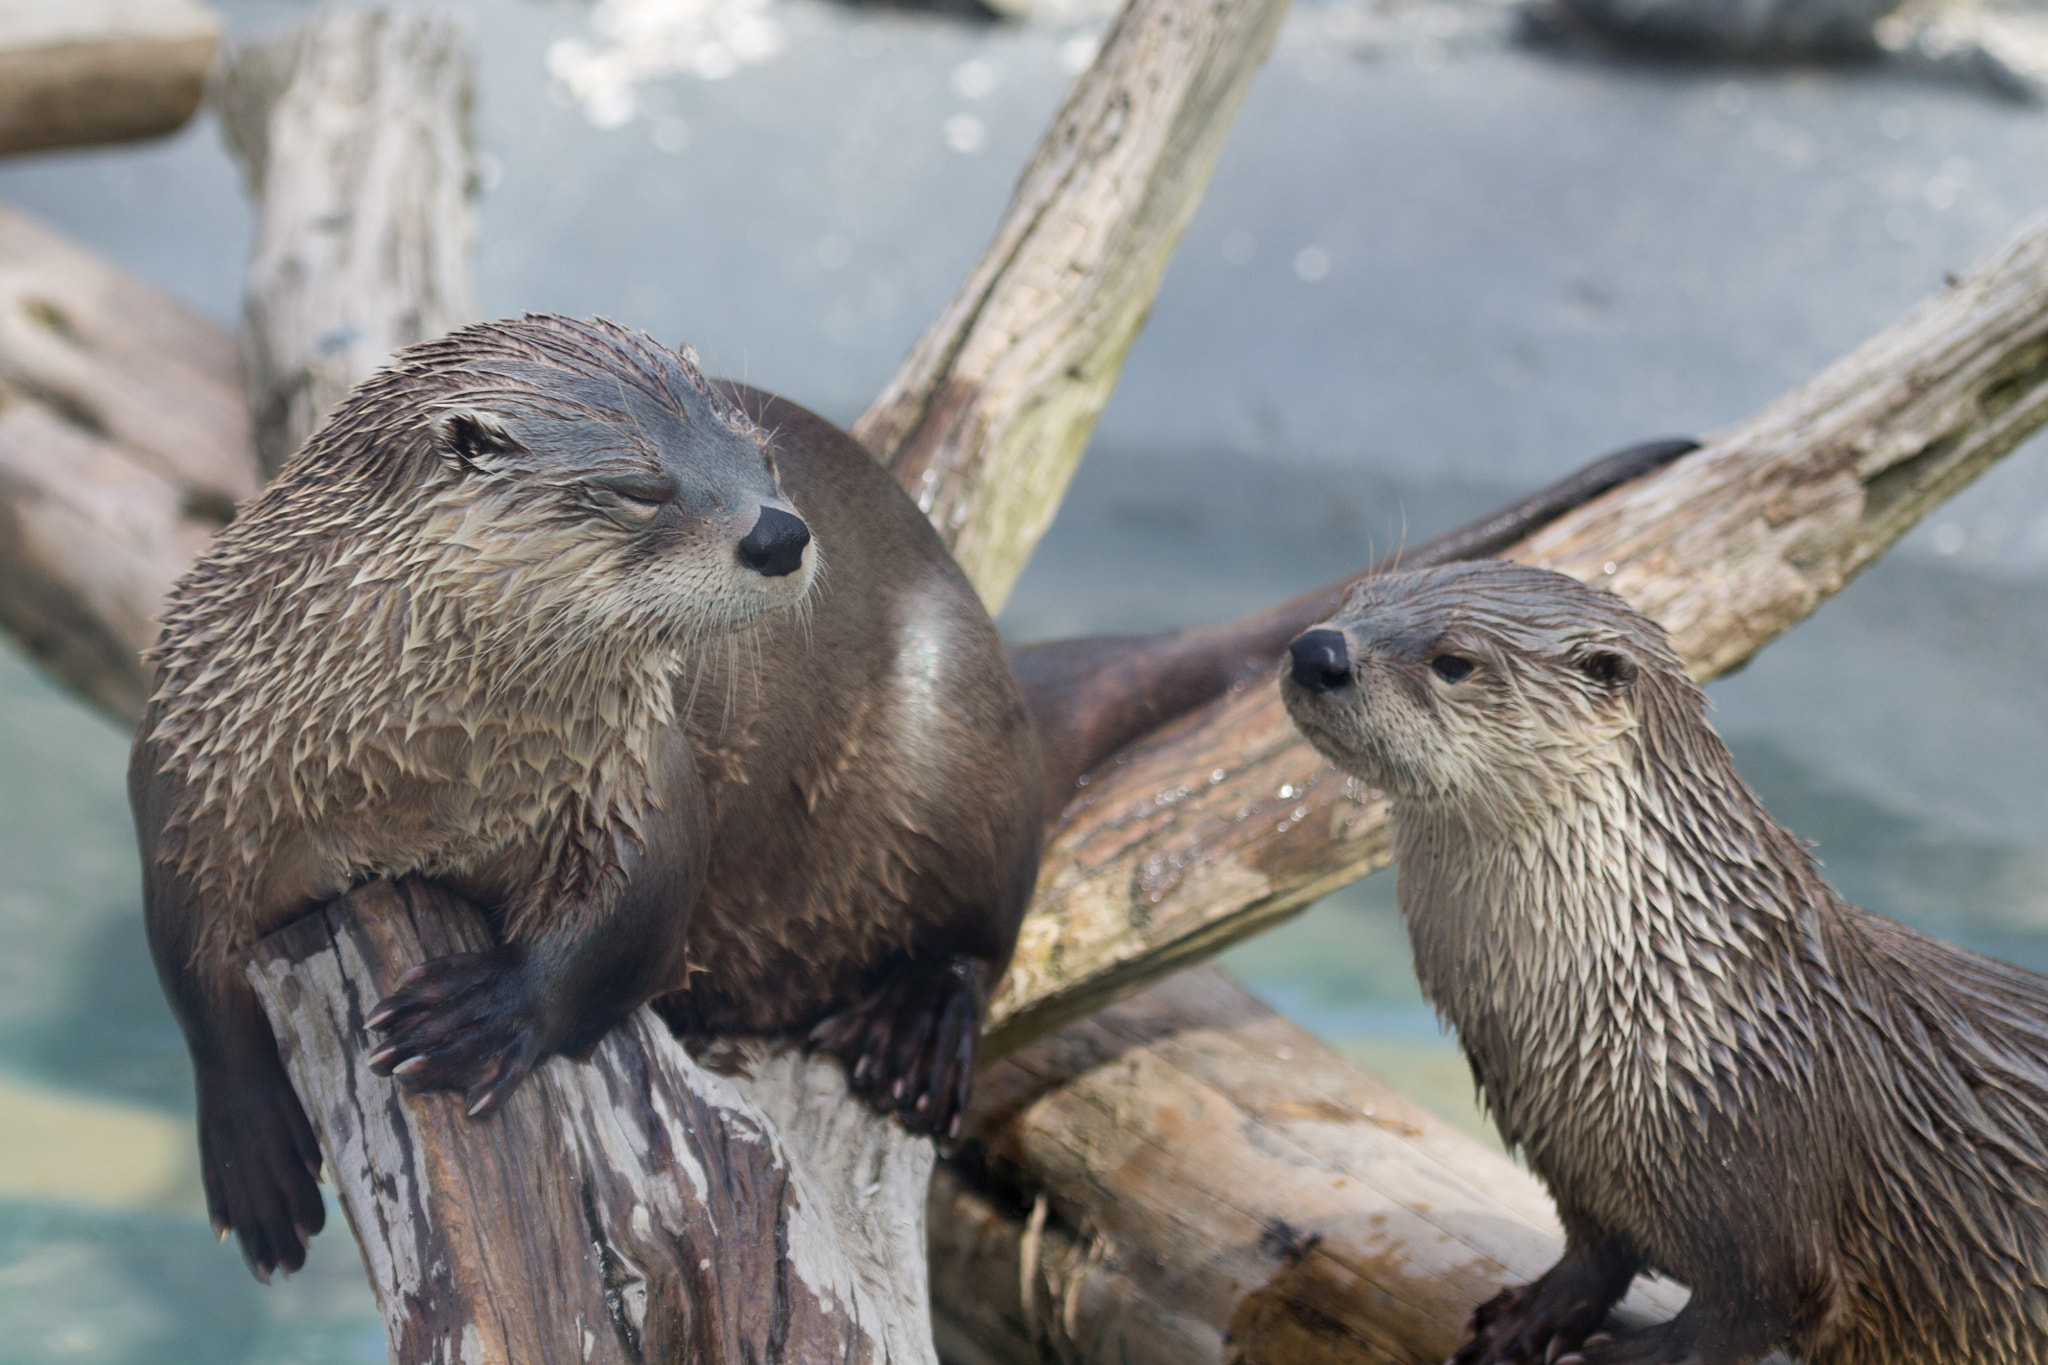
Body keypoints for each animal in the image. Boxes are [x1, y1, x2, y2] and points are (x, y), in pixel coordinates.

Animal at [133, 311, 1694, 1282]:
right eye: (639, 486)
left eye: (754, 458)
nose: (778, 533)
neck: (417, 766)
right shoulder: (196, 749)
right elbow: (193, 974)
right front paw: (256, 1157)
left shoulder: (636, 772)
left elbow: (626, 919)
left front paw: (488, 1014)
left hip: (956, 736)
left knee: (982, 925)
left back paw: (908, 1026)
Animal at [1280, 559, 2048, 1365]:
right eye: (1353, 600)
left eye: (1454, 661)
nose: (1318, 650)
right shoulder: (1574, 1165)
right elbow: (1594, 1255)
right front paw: (1529, 1317)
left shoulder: (1771, 1197)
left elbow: (1749, 1310)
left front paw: (1634, 1353)